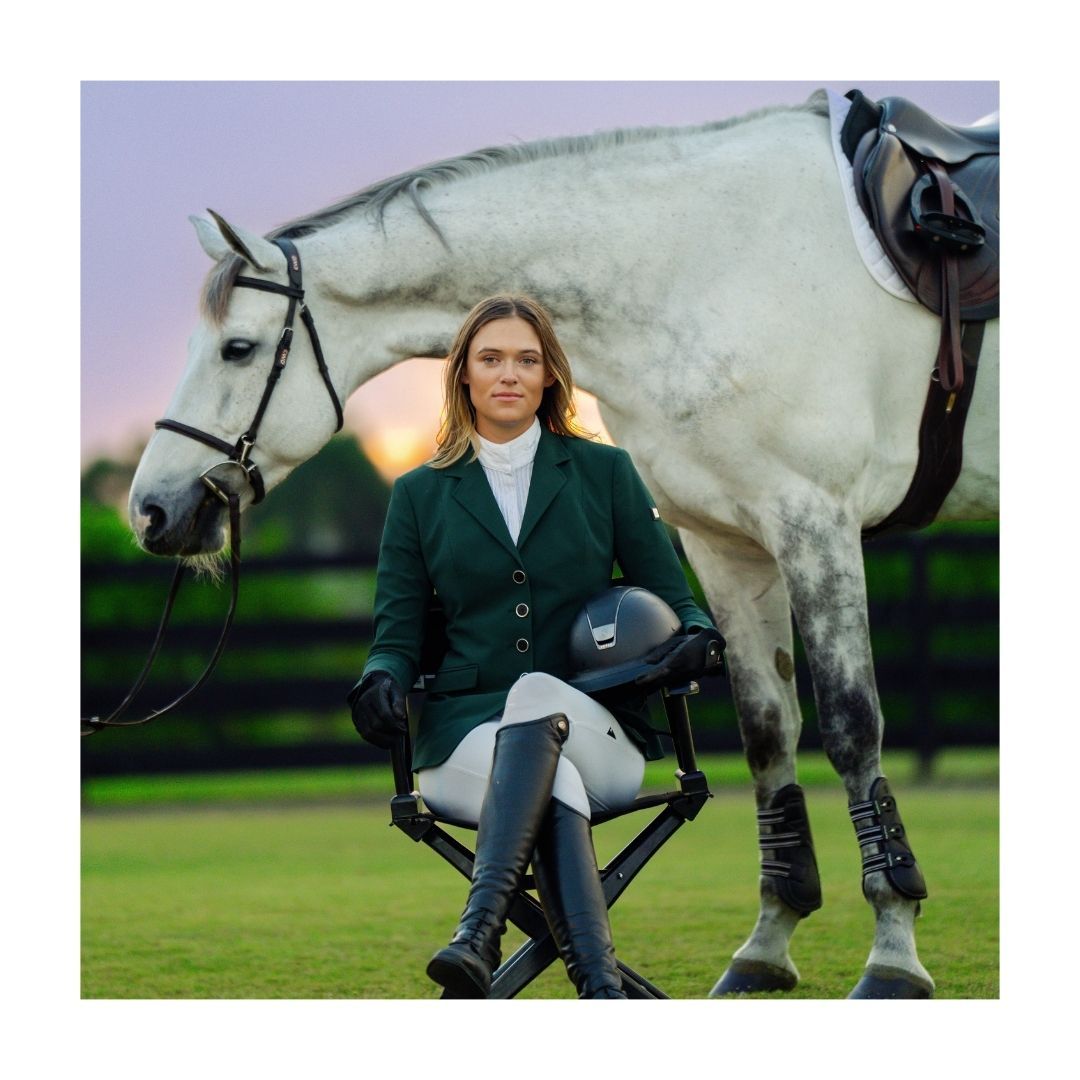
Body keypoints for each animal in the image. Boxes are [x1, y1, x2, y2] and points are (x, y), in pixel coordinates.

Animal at [130, 88, 997, 997]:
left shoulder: (813, 523)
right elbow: (767, 731)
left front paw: (894, 951)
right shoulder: (726, 542)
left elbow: (852, 726)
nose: (151, 510)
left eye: (238, 349)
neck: (704, 262)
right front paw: (766, 946)